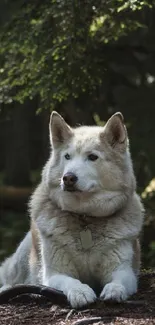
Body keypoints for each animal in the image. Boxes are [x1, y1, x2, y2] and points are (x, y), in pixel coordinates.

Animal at [0, 110, 144, 306]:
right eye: (67, 156)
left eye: (92, 157)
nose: (68, 178)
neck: (85, 217)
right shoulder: (54, 274)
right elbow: (71, 281)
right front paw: (80, 292)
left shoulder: (124, 270)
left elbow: (118, 281)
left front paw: (114, 290)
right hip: (22, 258)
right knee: (11, 279)